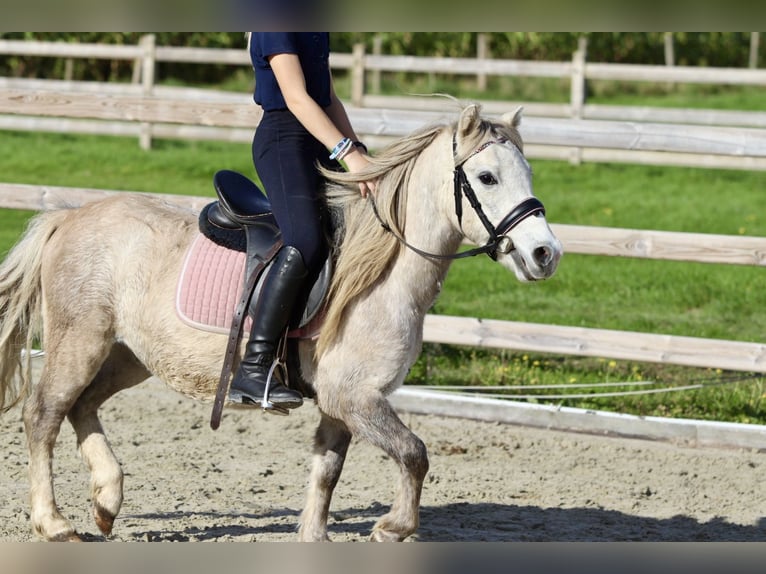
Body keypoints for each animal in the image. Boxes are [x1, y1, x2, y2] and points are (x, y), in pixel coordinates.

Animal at [0, 104, 560, 544]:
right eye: (487, 178)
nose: (545, 254)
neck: (381, 274)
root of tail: (69, 217)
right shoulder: (355, 397)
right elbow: (414, 452)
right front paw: (393, 527)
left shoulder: (341, 403)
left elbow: (327, 472)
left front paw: (315, 537)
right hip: (81, 342)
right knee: (44, 414)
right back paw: (55, 523)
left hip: (129, 356)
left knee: (82, 406)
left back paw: (107, 500)